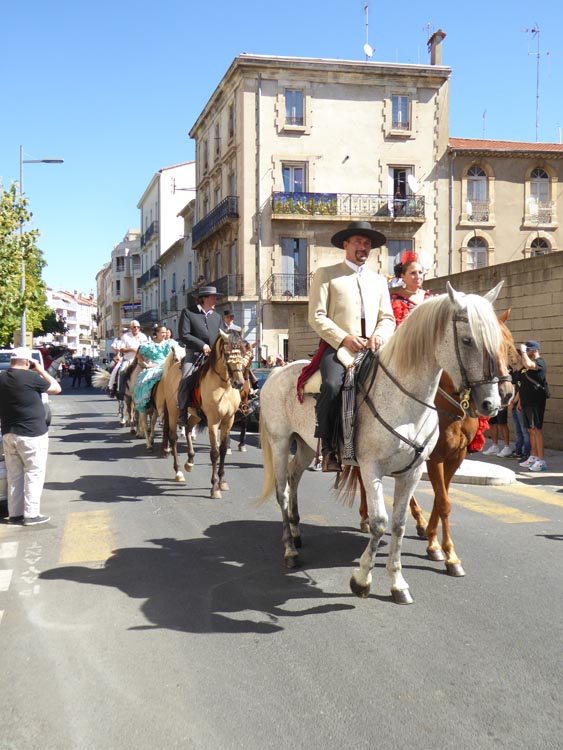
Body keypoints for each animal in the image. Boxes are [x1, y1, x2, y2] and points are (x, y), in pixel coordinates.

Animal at [360, 308, 516, 580]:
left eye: (506, 346)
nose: (505, 395)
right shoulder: (433, 458)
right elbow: (443, 502)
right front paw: (445, 552)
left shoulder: (456, 455)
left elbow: (441, 499)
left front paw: (437, 545)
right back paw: (367, 517)